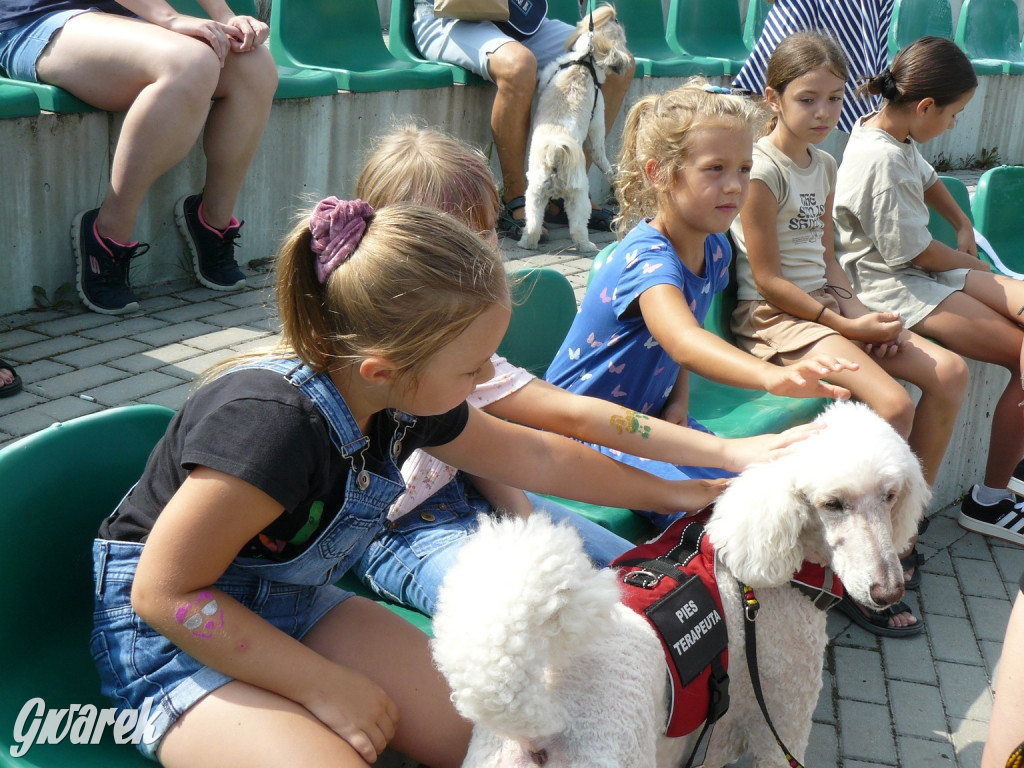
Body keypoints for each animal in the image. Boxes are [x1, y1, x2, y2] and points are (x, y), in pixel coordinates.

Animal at [520, 5, 630, 252]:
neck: (584, 62)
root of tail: (555, 152)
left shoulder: (597, 120)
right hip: (550, 193)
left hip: (549, 196)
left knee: (563, 226)